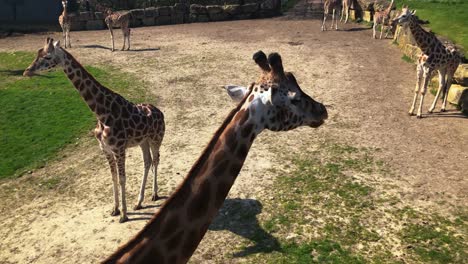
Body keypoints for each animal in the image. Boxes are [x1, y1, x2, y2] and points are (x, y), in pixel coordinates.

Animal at [24, 37, 166, 223]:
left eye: (47, 57)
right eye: (37, 53)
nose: (27, 71)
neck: (101, 112)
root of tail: (160, 112)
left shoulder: (119, 149)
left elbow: (122, 178)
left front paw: (124, 215)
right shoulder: (105, 149)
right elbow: (113, 177)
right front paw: (115, 209)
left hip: (156, 138)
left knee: (156, 159)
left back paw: (154, 194)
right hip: (143, 141)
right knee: (147, 161)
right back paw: (139, 201)